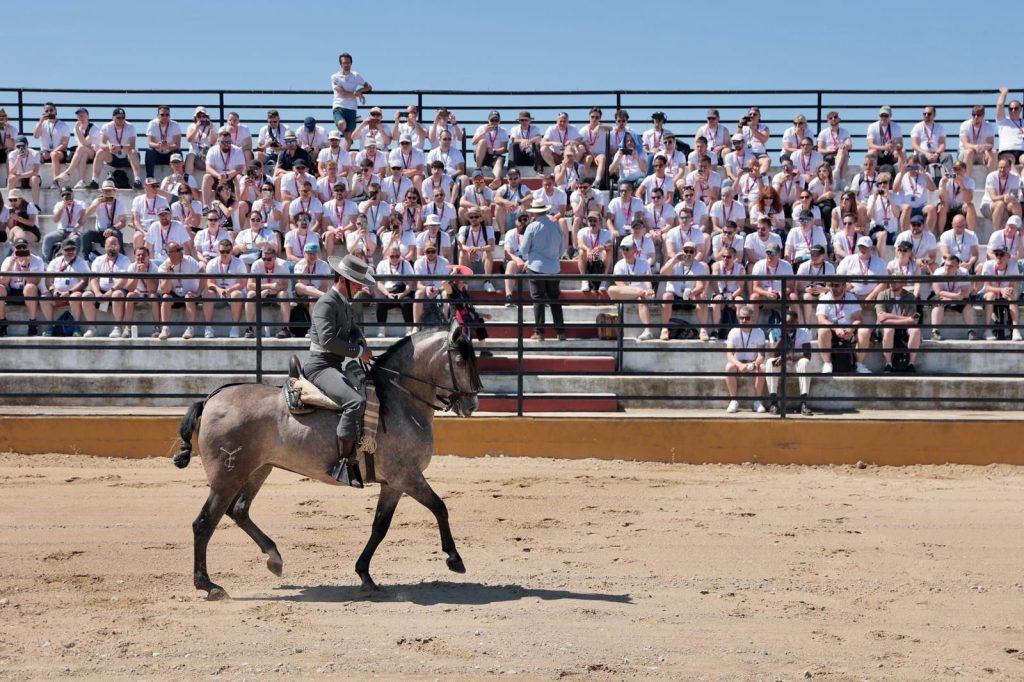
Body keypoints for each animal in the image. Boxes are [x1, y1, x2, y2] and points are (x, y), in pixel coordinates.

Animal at [174, 322, 482, 600]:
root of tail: (211, 399)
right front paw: (454, 559)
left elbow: (380, 527)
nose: (471, 405)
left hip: (258, 470)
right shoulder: (407, 476)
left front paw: (365, 574)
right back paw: (209, 585)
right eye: (459, 360)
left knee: (238, 511)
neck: (397, 401)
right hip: (227, 477)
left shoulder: (393, 484)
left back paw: (273, 557)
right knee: (204, 523)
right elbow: (439, 507)